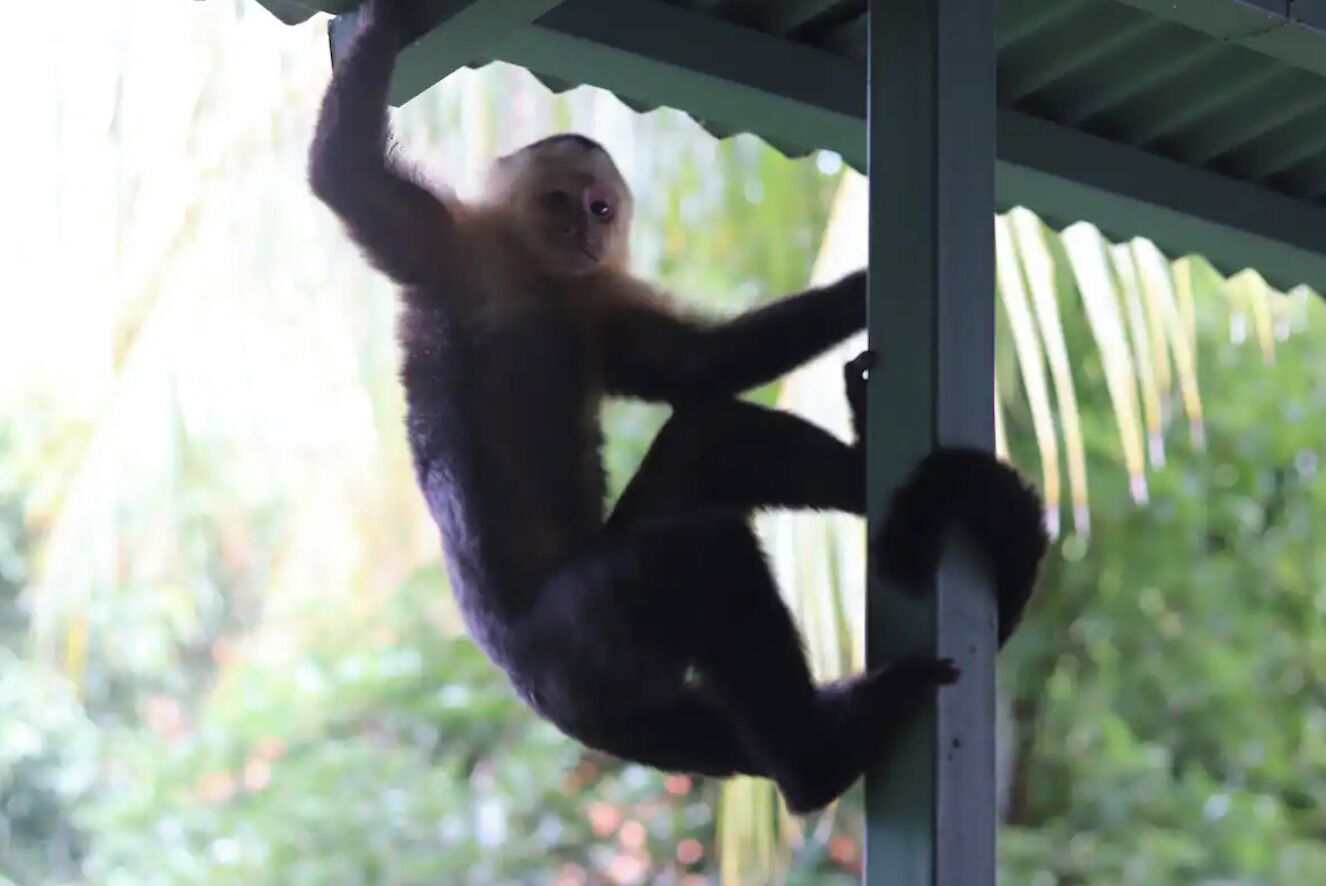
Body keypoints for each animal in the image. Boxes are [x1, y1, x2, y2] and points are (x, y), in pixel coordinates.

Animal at [308, 0, 1049, 815]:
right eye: (560, 201)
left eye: (600, 207)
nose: (585, 229)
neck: (539, 279)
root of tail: (539, 693)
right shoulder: (451, 247)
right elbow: (343, 176)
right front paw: (388, 21)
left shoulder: (597, 304)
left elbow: (703, 369)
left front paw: (860, 291)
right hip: (582, 642)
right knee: (701, 557)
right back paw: (818, 766)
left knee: (714, 437)